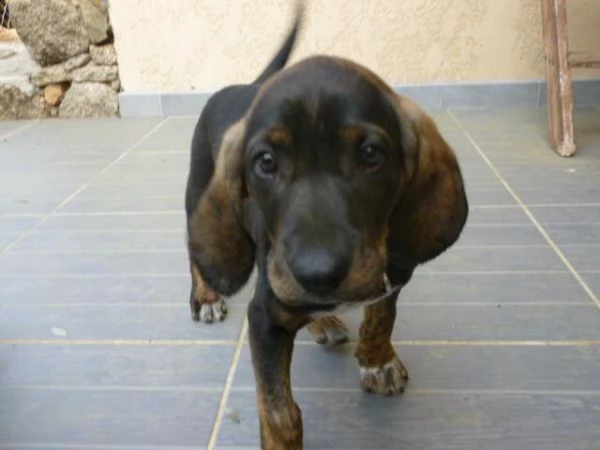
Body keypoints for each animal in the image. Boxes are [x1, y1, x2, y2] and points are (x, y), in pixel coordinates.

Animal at [185, 4, 466, 450]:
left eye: (371, 153)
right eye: (265, 162)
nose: (317, 274)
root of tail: (245, 85)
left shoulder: (391, 271)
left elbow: (382, 314)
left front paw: (378, 361)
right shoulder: (263, 319)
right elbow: (279, 412)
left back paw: (323, 319)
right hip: (197, 186)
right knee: (196, 249)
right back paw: (207, 296)